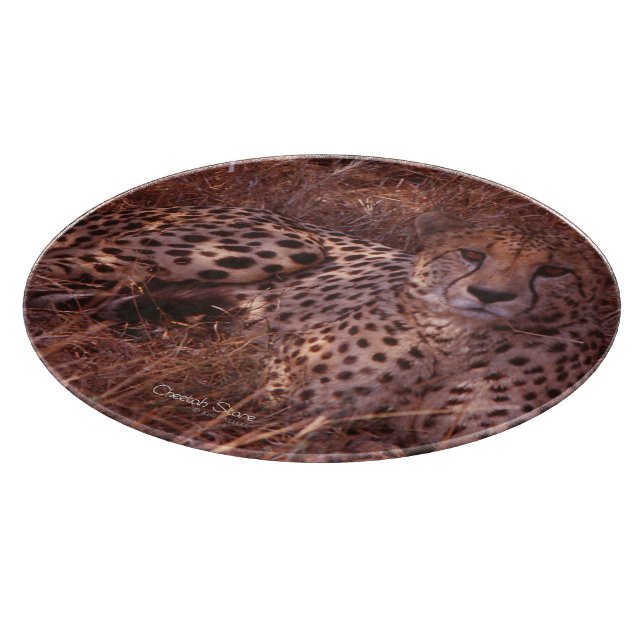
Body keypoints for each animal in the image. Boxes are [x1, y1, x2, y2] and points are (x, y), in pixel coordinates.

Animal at [28, 205, 617, 449]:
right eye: (471, 254)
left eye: (555, 271)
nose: (490, 296)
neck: (459, 344)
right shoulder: (282, 396)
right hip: (285, 244)